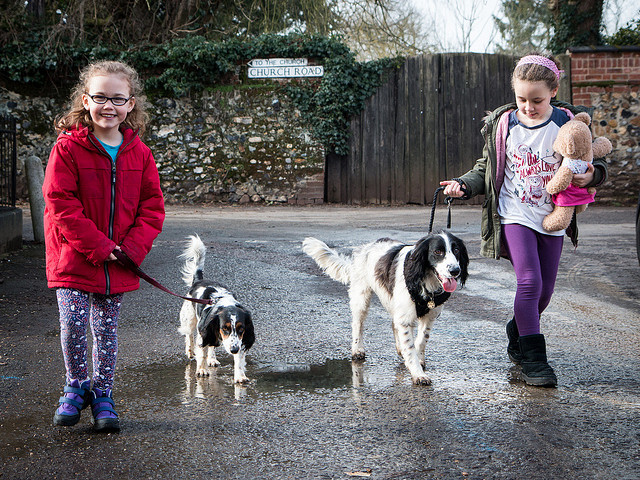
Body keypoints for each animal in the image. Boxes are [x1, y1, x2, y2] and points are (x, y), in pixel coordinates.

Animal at [178, 234, 255, 384]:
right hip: (189, 320)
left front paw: (240, 376)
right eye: (225, 328)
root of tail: (198, 281)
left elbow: (238, 361)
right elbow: (201, 352)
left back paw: (212, 359)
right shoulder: (204, 332)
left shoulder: (239, 340)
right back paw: (190, 352)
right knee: (189, 335)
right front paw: (202, 370)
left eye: (241, 328)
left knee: (211, 345)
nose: (233, 350)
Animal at [302, 232, 468, 386]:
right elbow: (410, 347)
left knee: (393, 324)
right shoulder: (405, 315)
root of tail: (365, 248)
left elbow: (420, 341)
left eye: (456, 250)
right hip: (361, 298)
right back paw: (357, 349)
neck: (424, 278)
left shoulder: (428, 316)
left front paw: (419, 361)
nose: (455, 270)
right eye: (438, 251)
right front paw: (418, 374)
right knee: (358, 324)